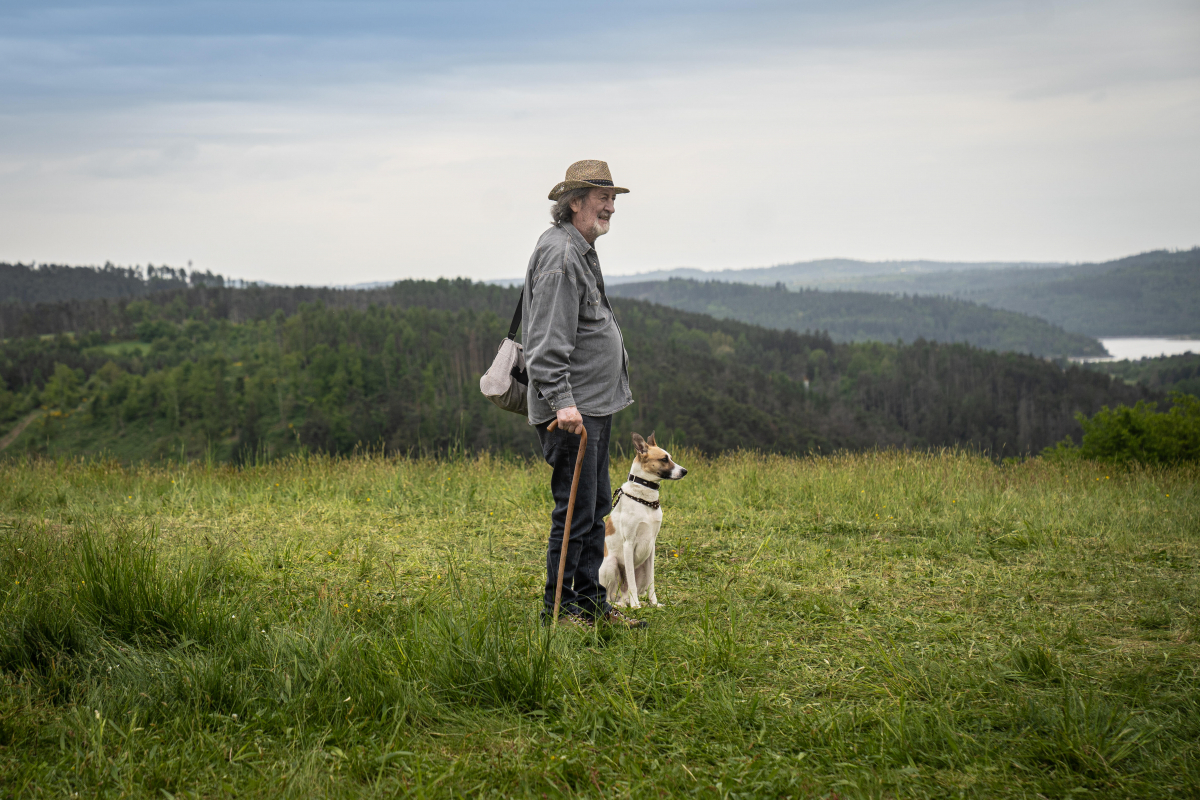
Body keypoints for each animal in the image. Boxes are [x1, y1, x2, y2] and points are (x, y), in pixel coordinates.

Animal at [597, 434, 691, 609]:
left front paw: (654, 603)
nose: (685, 471)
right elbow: (632, 583)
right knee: (609, 596)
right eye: (664, 459)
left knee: (624, 593)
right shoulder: (628, 543)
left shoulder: (651, 545)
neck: (645, 499)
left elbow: (651, 581)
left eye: (671, 457)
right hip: (611, 563)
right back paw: (624, 604)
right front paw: (636, 605)